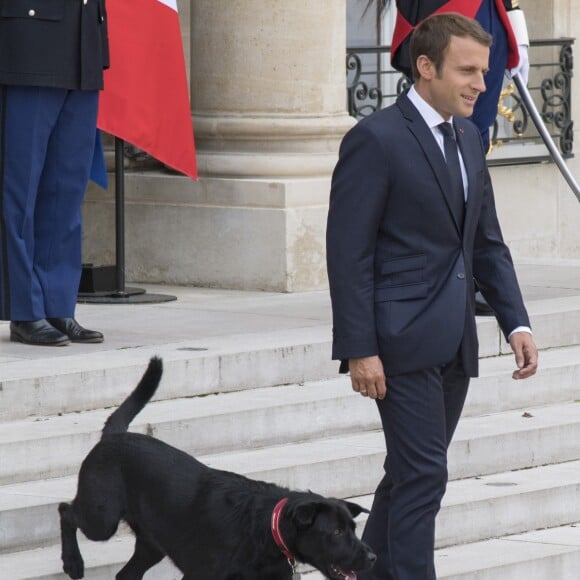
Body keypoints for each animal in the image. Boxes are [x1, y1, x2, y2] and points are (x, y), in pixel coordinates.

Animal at [59, 356, 376, 576]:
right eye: (336, 532)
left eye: (353, 528)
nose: (373, 558)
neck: (264, 528)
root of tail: (115, 435)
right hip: (102, 518)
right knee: (66, 511)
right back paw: (73, 562)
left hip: (151, 543)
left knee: (125, 575)